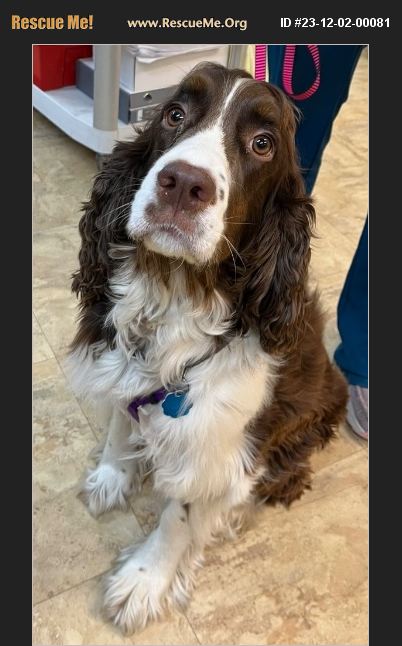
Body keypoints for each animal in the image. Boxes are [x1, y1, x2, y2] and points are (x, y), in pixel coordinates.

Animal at [66, 64, 348, 632]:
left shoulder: (213, 443)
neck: (175, 291)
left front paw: (145, 581)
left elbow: (181, 514)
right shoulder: (127, 366)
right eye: (175, 114)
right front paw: (112, 475)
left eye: (263, 143)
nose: (183, 184)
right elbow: (122, 419)